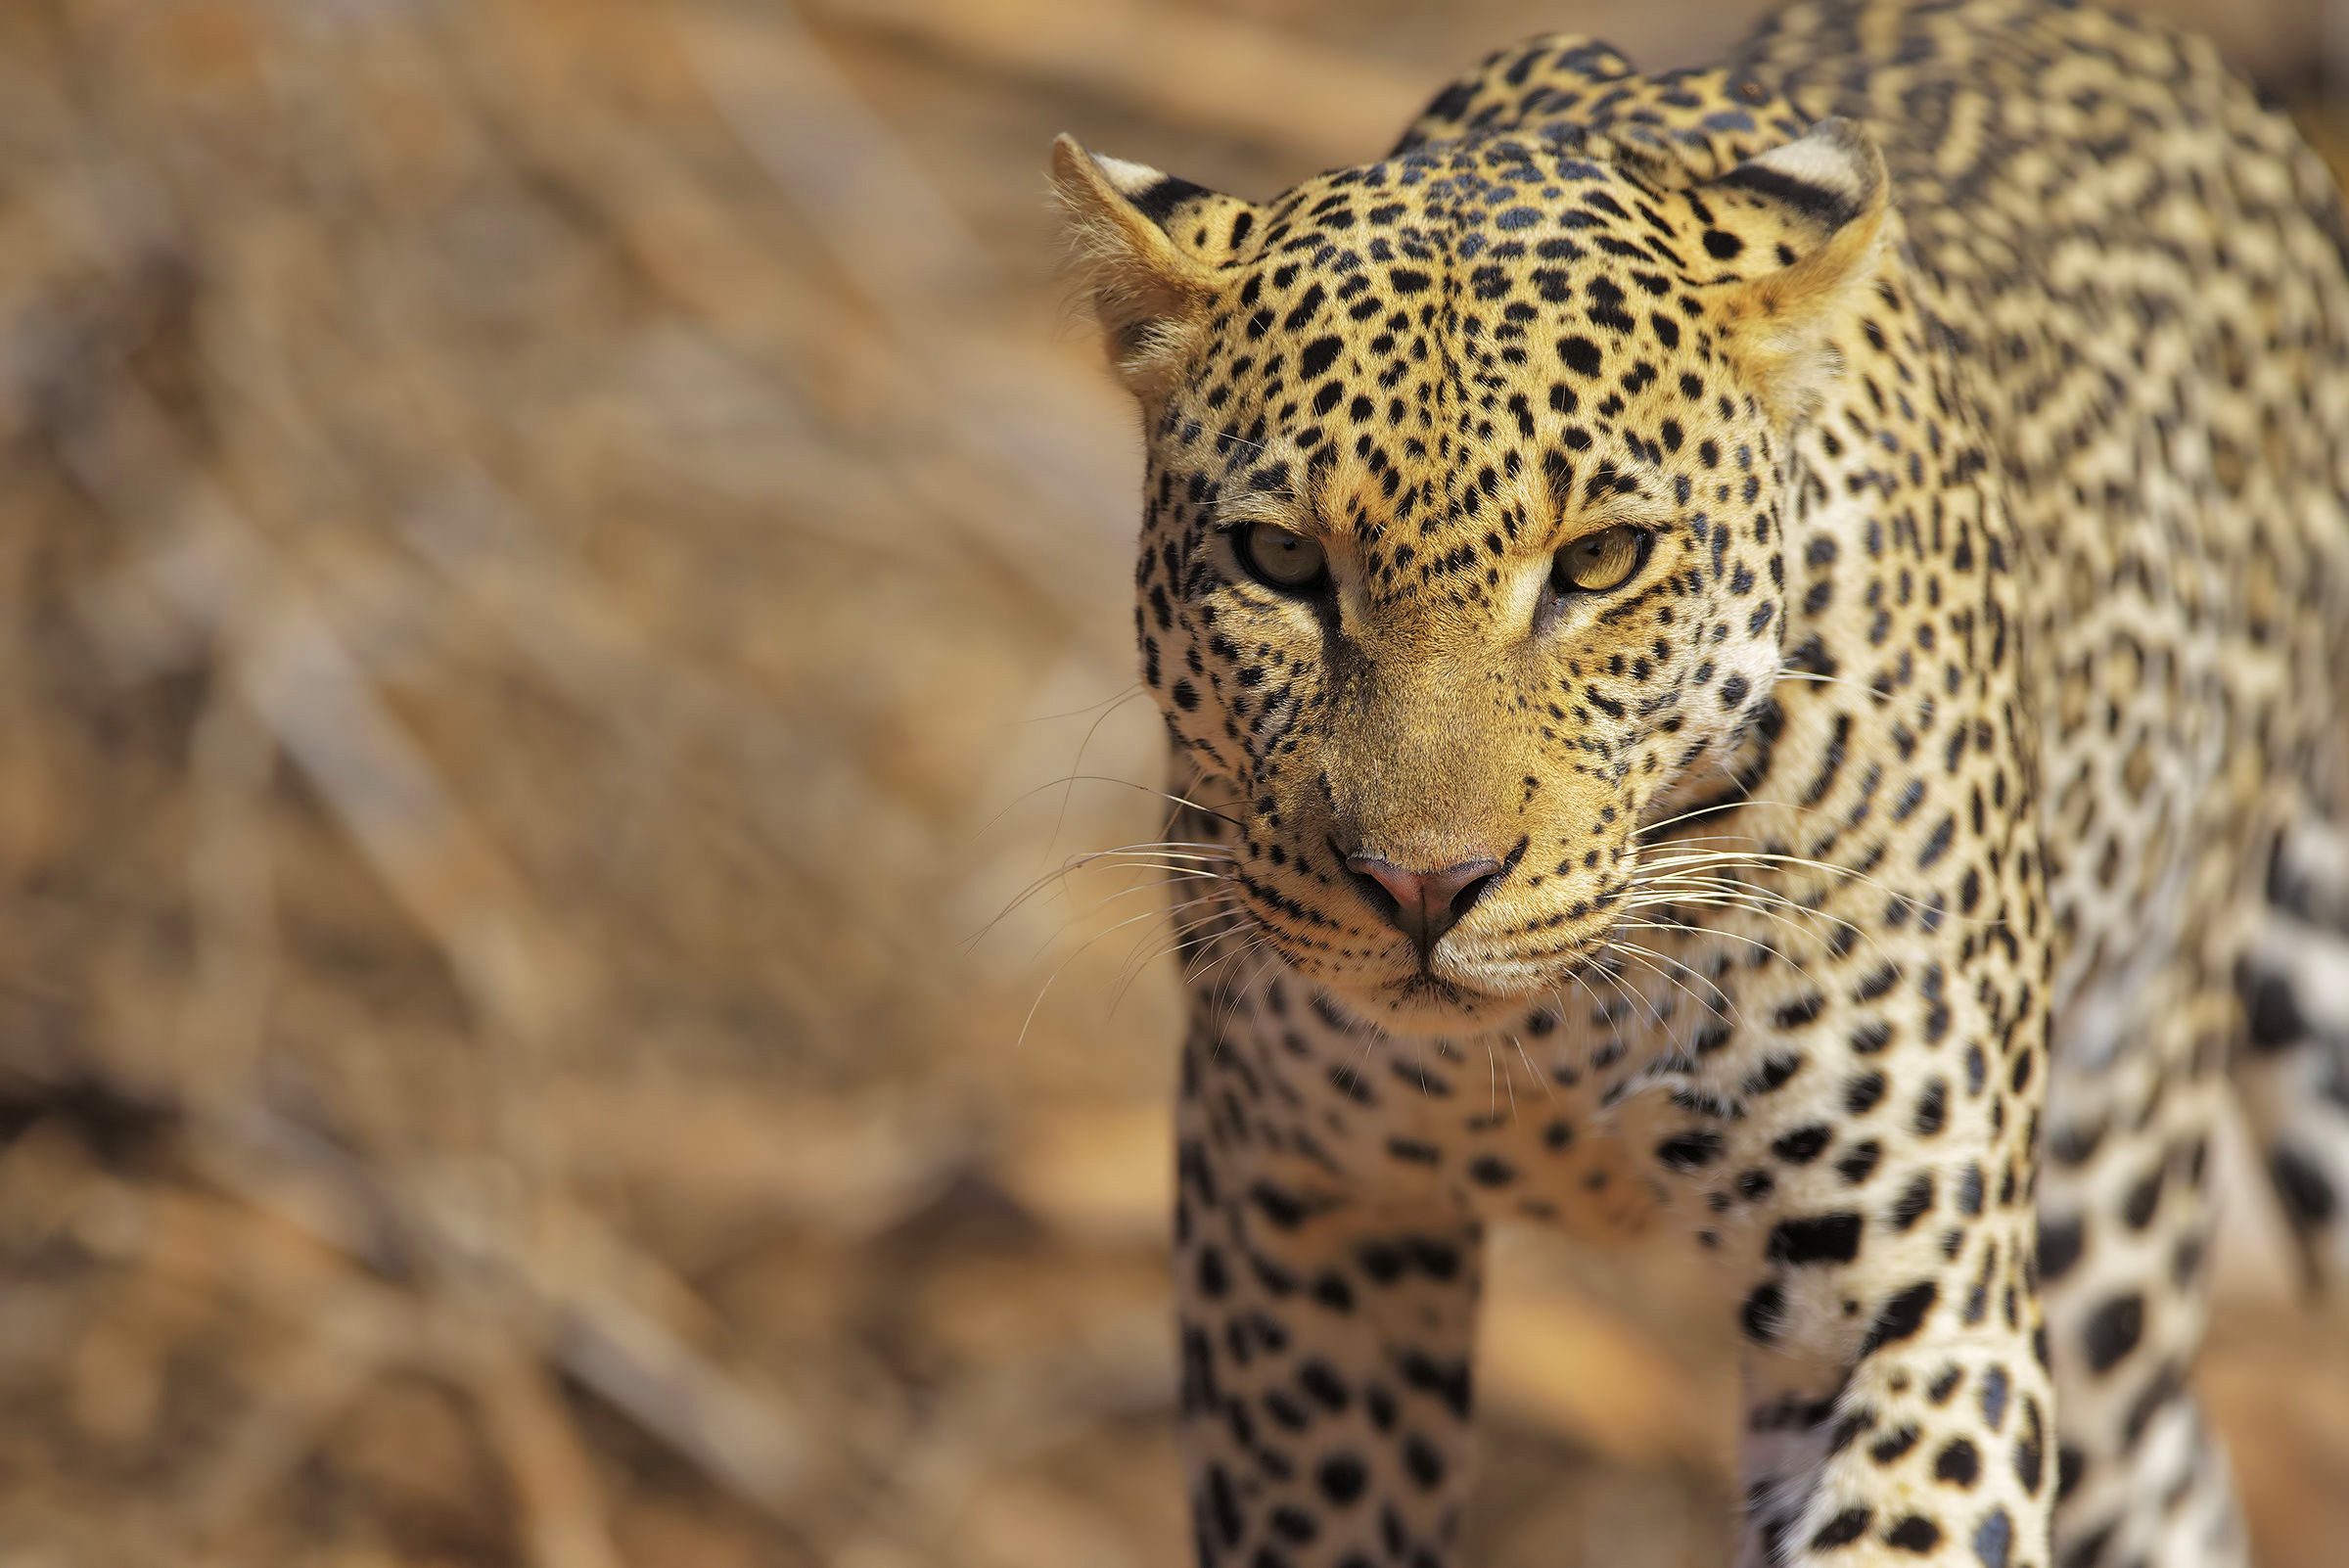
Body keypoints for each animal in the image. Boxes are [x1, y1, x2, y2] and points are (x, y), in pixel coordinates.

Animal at [1047, 6, 2349, 1558]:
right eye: (1282, 560)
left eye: (1602, 561)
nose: (1423, 886)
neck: (1549, 1036)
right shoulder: (1299, 1229)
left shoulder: (1915, 1308)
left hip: (2118, 1176)